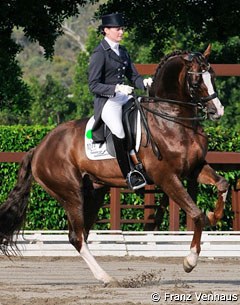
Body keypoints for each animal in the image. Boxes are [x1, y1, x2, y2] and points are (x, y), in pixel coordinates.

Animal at [0, 44, 229, 284]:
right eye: (196, 81)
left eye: (212, 76)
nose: (217, 111)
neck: (171, 119)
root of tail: (39, 148)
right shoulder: (166, 177)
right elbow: (196, 214)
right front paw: (190, 261)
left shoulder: (194, 168)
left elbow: (222, 184)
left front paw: (214, 215)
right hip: (71, 194)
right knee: (76, 236)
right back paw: (106, 277)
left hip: (94, 192)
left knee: (83, 234)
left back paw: (103, 276)